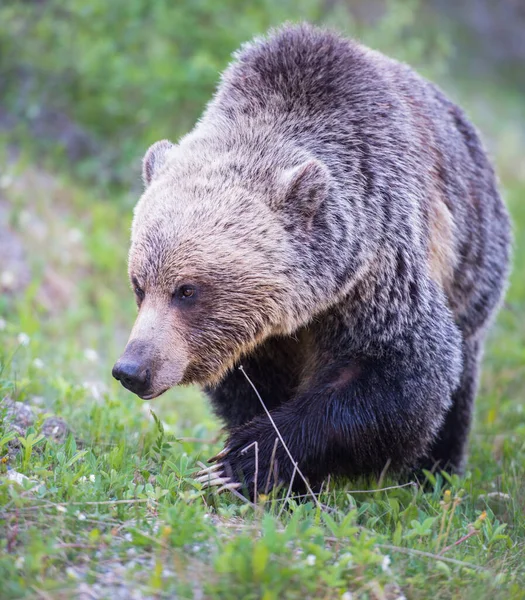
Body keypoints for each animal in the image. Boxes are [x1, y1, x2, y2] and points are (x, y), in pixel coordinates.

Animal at [112, 23, 510, 494]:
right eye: (139, 285)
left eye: (187, 290)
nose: (132, 369)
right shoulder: (262, 340)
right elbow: (251, 386)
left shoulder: (375, 273)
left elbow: (401, 370)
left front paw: (244, 462)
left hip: (474, 264)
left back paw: (433, 473)